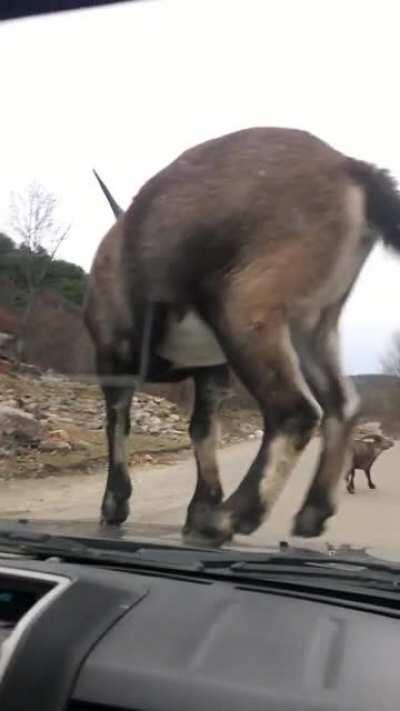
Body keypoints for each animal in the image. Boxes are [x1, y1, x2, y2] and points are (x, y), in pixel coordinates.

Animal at [84, 127, 400, 545]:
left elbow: (118, 424)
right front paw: (199, 505)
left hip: (245, 309)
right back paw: (311, 515)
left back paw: (228, 518)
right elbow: (202, 430)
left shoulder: (112, 355)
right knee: (342, 403)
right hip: (313, 324)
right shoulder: (212, 371)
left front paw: (116, 505)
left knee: (295, 411)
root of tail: (351, 171)